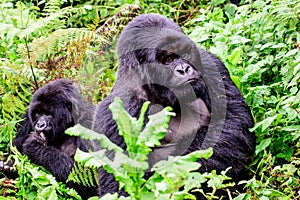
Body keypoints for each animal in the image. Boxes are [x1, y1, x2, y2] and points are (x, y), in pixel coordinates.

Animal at [93, 14, 255, 197]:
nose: (184, 69)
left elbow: (233, 121)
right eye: (168, 59)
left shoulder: (210, 63)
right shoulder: (113, 113)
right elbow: (118, 185)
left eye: (184, 53)